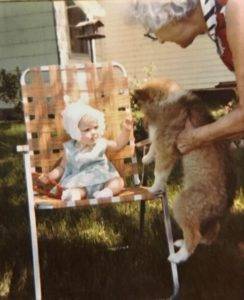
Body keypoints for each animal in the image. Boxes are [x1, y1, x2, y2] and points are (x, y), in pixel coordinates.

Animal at [132, 78, 235, 264]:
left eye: (140, 104)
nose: (141, 124)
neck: (167, 100)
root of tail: (225, 204)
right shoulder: (161, 138)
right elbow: (153, 143)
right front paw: (147, 158)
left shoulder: (166, 146)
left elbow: (159, 171)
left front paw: (153, 188)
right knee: (209, 234)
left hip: (184, 204)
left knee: (194, 235)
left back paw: (178, 256)